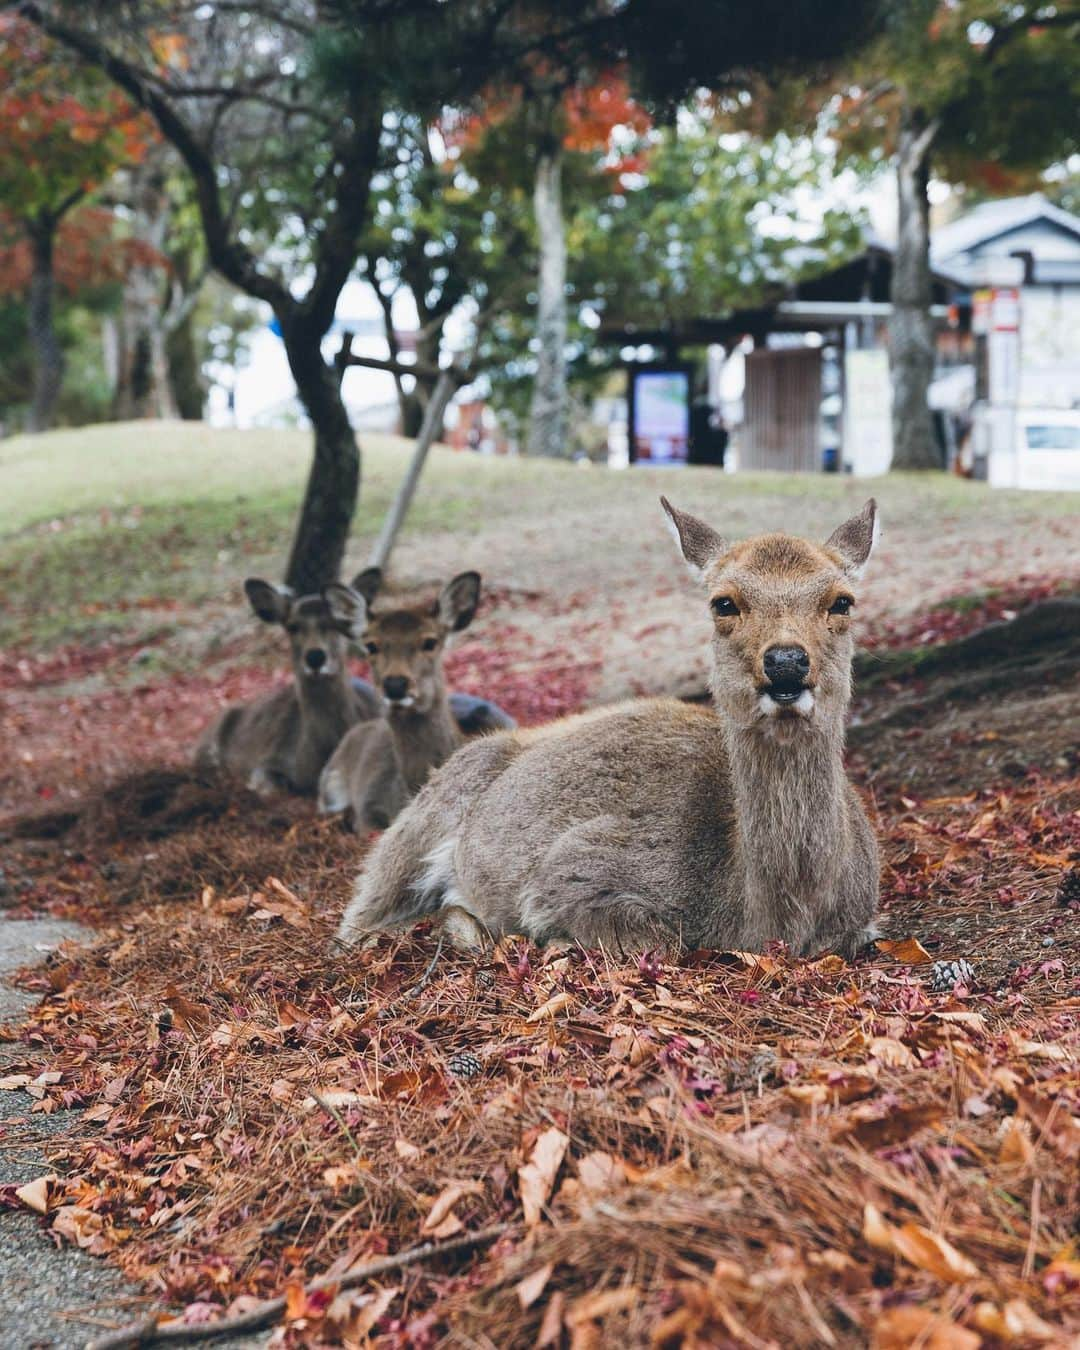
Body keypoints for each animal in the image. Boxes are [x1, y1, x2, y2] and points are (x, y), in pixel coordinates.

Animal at [337, 499, 885, 961]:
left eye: (843, 601)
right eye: (723, 603)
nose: (786, 661)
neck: (767, 917)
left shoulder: (861, 923)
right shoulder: (572, 867)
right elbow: (656, 939)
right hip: (417, 824)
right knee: (355, 921)